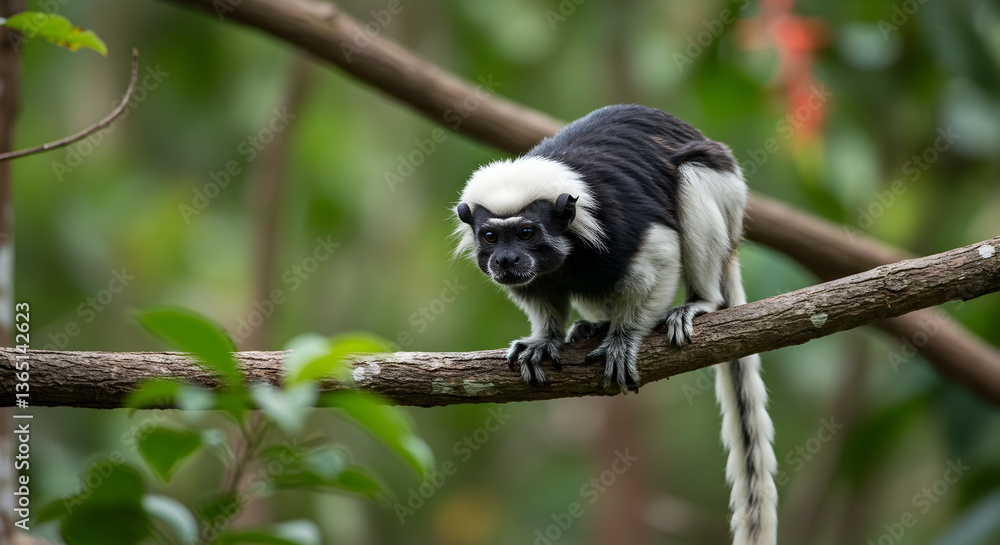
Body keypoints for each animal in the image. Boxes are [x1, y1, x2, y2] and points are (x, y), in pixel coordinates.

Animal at [452, 104, 777, 545]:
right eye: (490, 237)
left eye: (526, 233)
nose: (505, 260)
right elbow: (540, 292)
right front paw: (545, 339)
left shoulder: (621, 222)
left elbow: (660, 254)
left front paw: (624, 340)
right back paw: (595, 326)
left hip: (727, 192)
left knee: (691, 177)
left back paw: (700, 301)